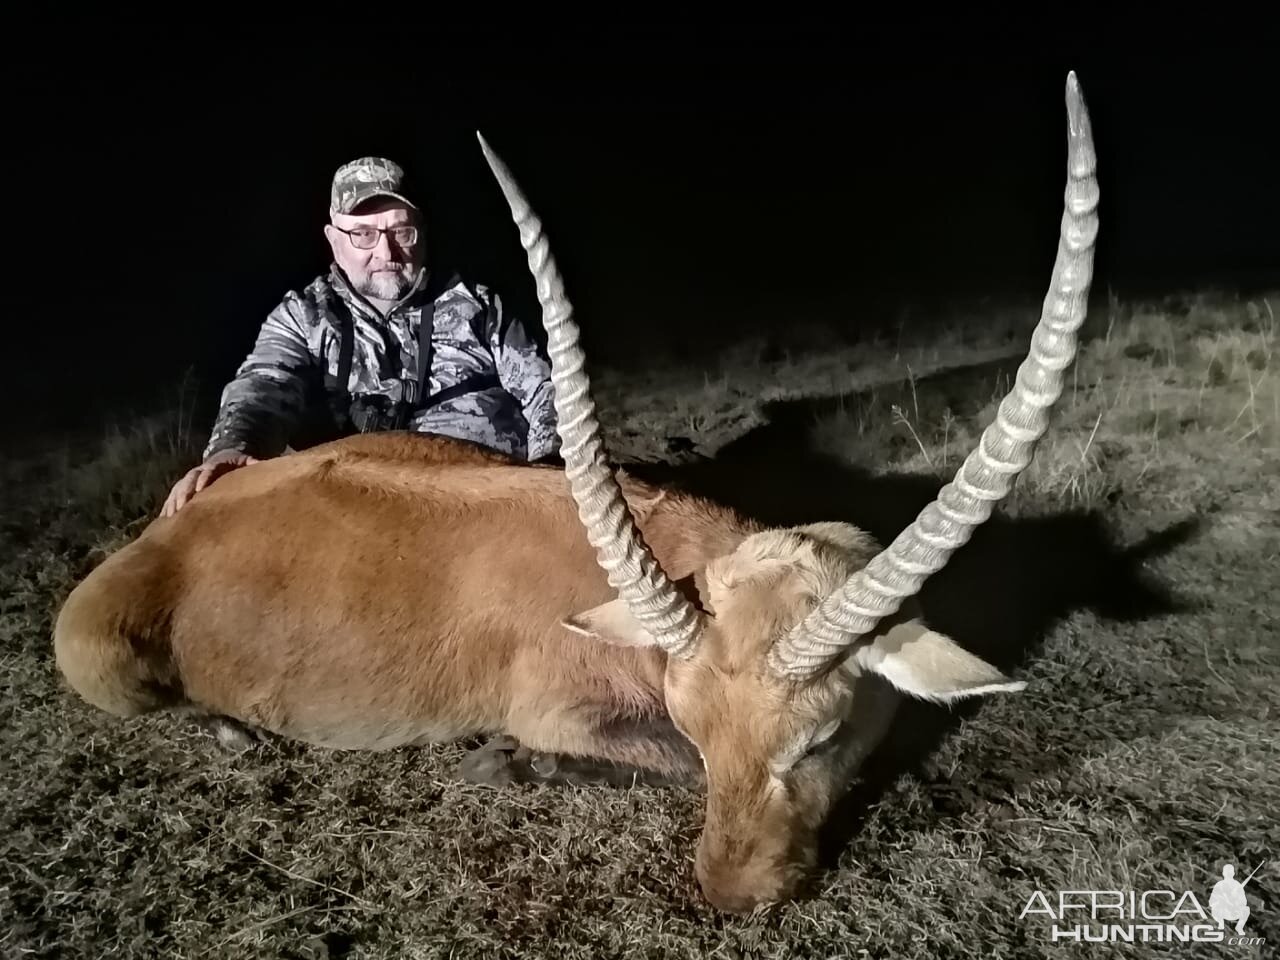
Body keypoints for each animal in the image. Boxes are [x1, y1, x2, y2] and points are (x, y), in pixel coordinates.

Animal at [55, 71, 1100, 911]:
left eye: (821, 737)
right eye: (698, 730)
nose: (731, 896)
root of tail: (157, 538)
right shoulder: (559, 710)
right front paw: (504, 764)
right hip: (95, 662)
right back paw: (231, 734)